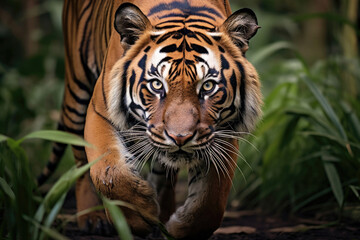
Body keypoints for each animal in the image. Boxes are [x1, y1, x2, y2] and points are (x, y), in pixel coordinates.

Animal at [38, 0, 262, 238]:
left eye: (208, 86)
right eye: (156, 84)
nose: (180, 137)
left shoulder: (223, 132)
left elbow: (211, 201)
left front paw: (179, 228)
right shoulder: (99, 112)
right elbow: (110, 173)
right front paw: (140, 217)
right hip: (77, 90)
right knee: (80, 162)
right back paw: (93, 218)